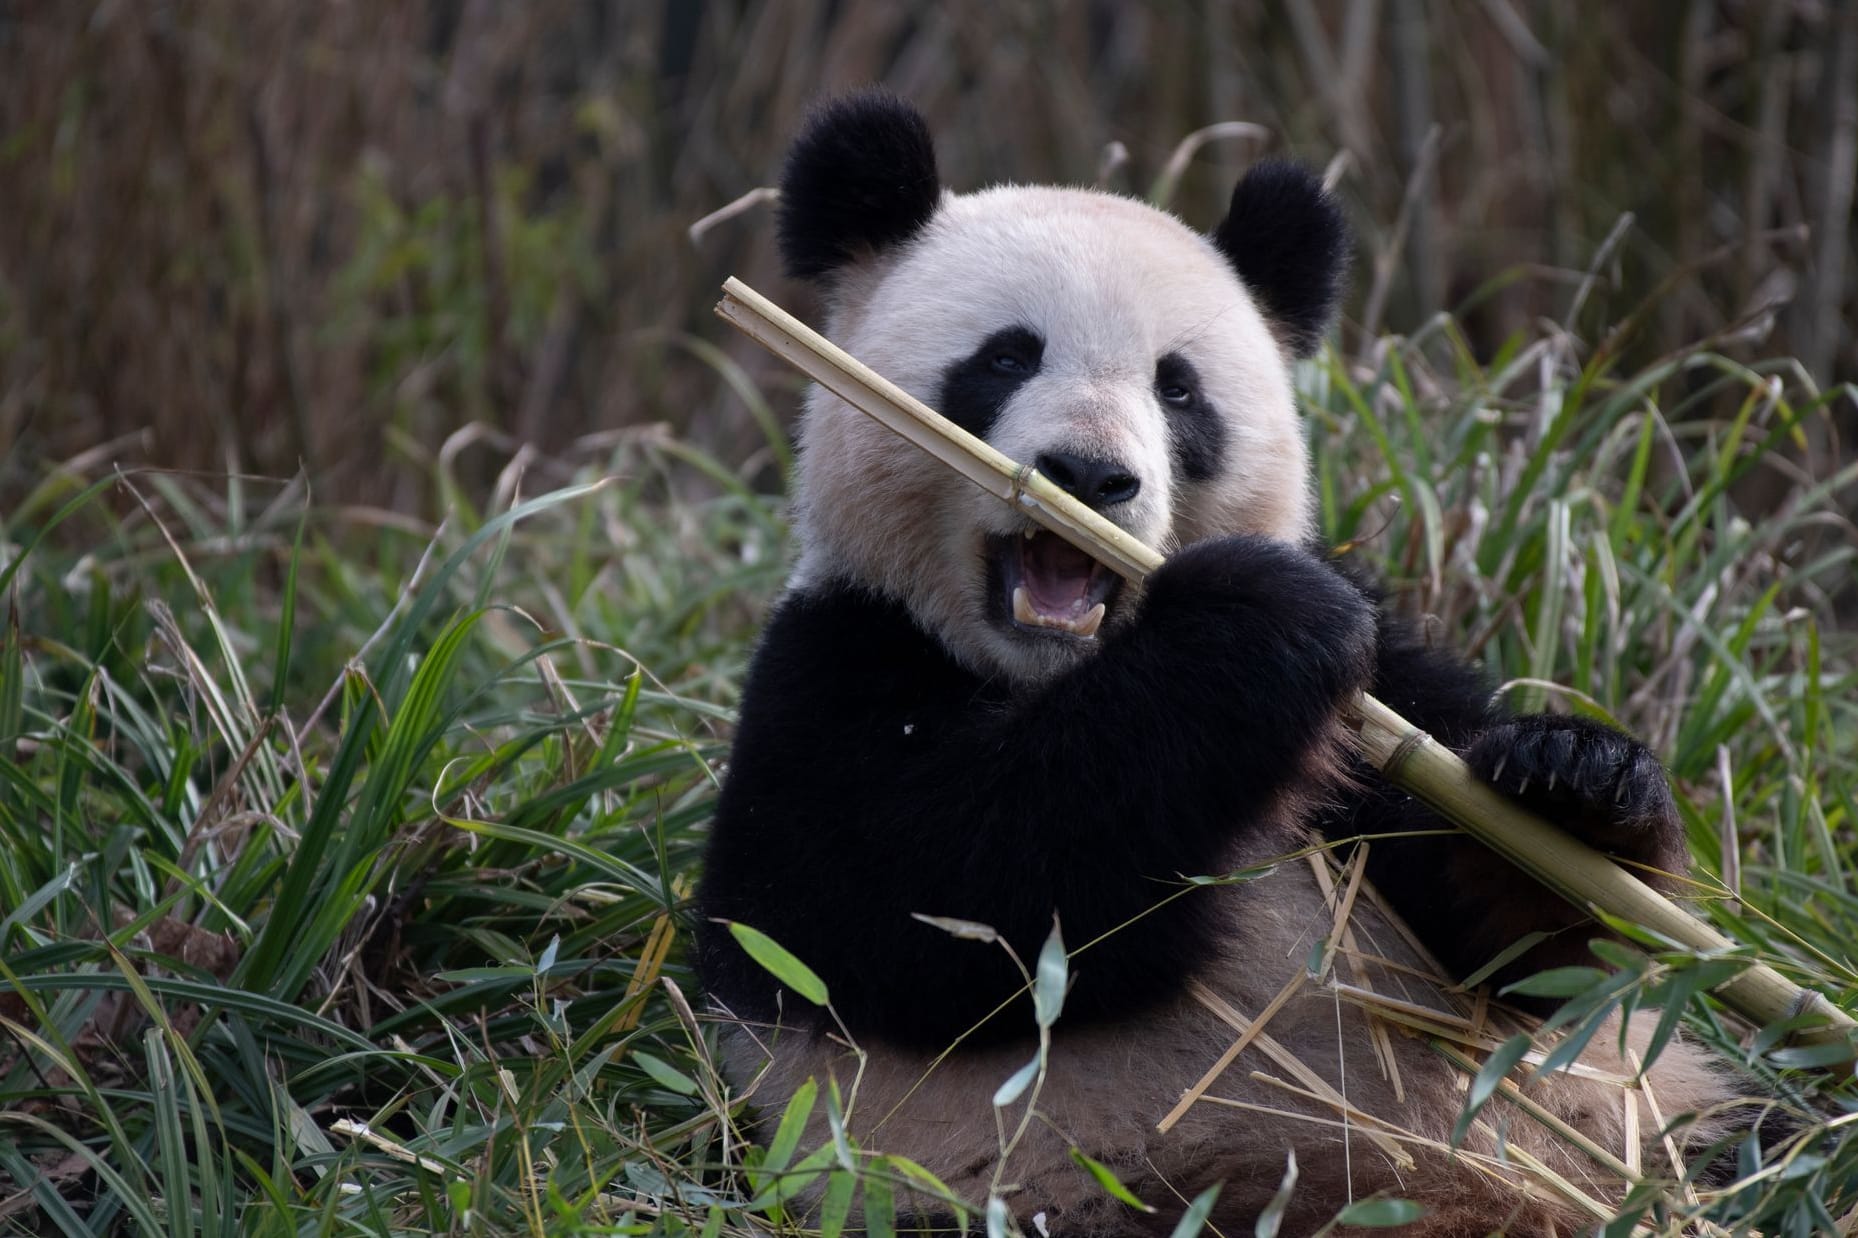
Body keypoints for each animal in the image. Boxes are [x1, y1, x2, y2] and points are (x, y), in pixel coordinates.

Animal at [694, 91, 1739, 1226]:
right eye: (1006, 357)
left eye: (1179, 390)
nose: (1089, 474)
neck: (1053, 672)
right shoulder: (833, 663)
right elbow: (923, 907)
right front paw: (1254, 620)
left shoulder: (1388, 692)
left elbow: (1521, 959)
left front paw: (1573, 785)